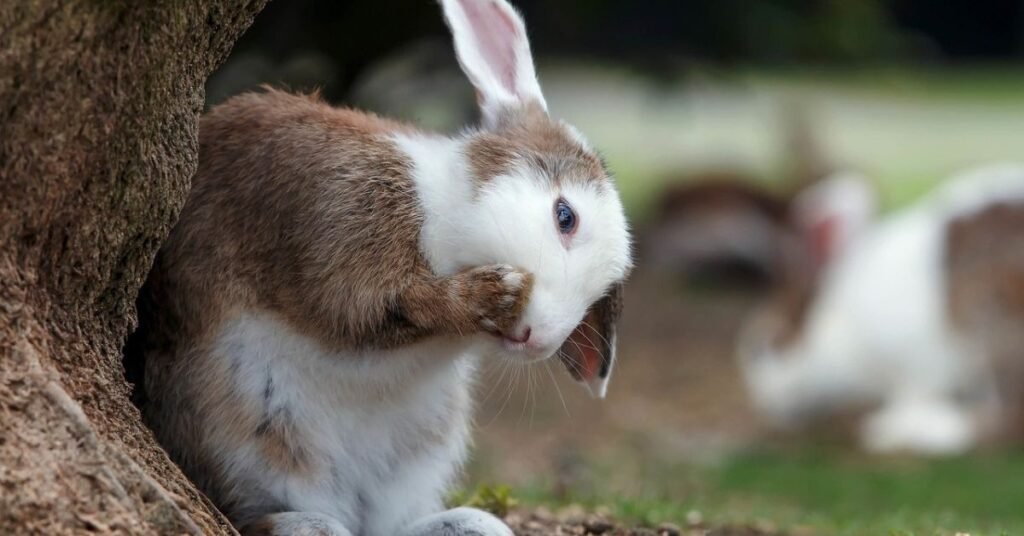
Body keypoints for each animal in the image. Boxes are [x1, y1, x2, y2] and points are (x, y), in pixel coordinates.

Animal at [133, 0, 633, 534]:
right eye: (565, 216)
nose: (536, 339)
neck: (442, 205)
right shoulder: (342, 234)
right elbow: (375, 308)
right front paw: (493, 292)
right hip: (257, 435)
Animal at [737, 164, 1024, 455]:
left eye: (758, 349)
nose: (762, 404)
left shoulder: (922, 367)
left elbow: (916, 397)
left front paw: (889, 424)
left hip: (992, 326)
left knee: (1004, 421)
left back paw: (897, 429)